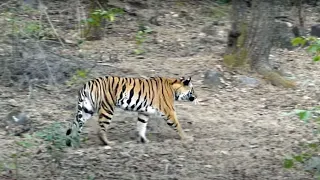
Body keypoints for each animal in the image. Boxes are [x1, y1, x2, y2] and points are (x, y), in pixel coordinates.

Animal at [65, 75, 198, 147]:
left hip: (86, 110)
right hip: (107, 108)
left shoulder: (144, 112)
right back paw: (108, 143)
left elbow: (141, 126)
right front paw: (187, 138)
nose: (197, 96)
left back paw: (72, 142)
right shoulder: (169, 111)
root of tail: (87, 84)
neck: (173, 87)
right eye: (192, 90)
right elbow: (178, 125)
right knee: (101, 130)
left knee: (76, 125)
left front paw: (144, 140)